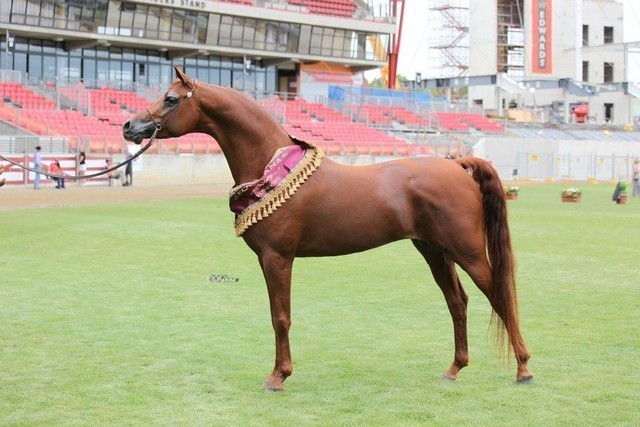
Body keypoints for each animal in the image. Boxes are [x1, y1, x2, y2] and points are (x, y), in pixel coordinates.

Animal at [123, 65, 533, 391]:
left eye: (171, 99)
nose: (129, 126)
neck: (272, 167)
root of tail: (458, 164)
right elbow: (277, 316)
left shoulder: (277, 258)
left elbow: (281, 317)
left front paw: (278, 377)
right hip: (433, 251)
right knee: (457, 302)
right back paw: (454, 369)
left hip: (467, 251)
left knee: (499, 297)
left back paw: (524, 370)